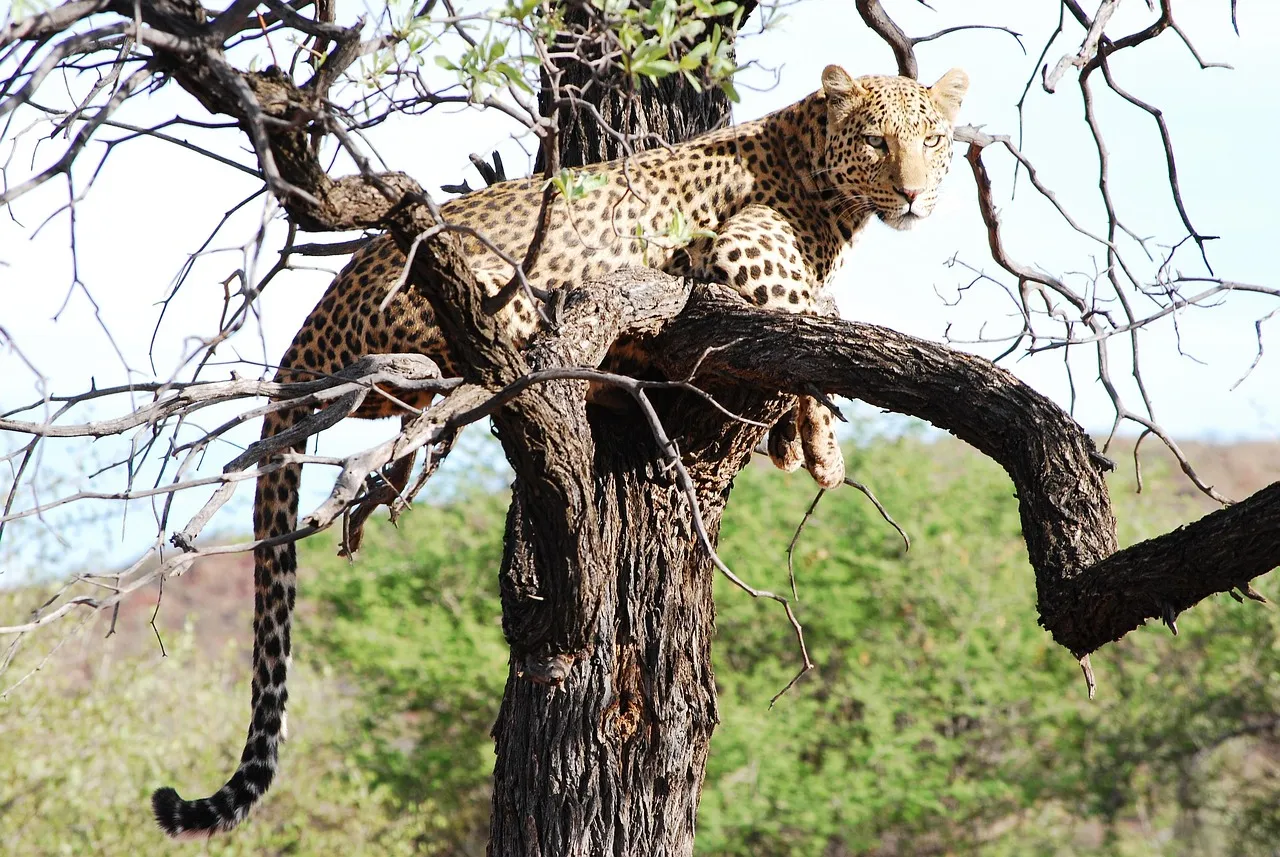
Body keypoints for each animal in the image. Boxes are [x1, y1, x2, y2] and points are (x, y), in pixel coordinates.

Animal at [151, 64, 968, 838]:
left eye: (932, 140)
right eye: (877, 142)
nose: (913, 194)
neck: (829, 190)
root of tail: (308, 326)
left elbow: (821, 321)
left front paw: (797, 438)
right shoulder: (742, 253)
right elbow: (815, 316)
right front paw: (818, 437)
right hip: (495, 296)